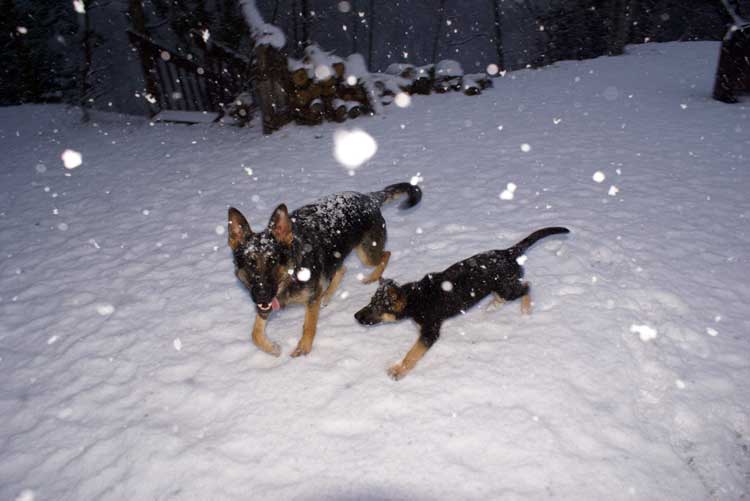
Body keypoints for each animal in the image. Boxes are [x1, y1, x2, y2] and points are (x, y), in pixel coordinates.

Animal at [226, 182, 426, 358]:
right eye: (250, 263)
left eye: (273, 261)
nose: (261, 295)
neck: (292, 273)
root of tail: (368, 198)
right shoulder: (265, 305)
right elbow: (255, 334)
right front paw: (272, 348)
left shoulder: (311, 298)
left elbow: (309, 325)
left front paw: (304, 348)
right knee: (342, 269)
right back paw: (328, 295)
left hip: (366, 255)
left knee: (386, 254)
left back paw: (372, 277)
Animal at [356, 227, 568, 378]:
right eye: (370, 302)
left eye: (377, 307)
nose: (356, 316)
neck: (415, 297)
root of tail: (508, 253)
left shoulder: (429, 333)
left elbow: (412, 353)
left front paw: (399, 370)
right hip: (500, 287)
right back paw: (493, 306)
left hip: (507, 289)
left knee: (526, 286)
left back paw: (525, 310)